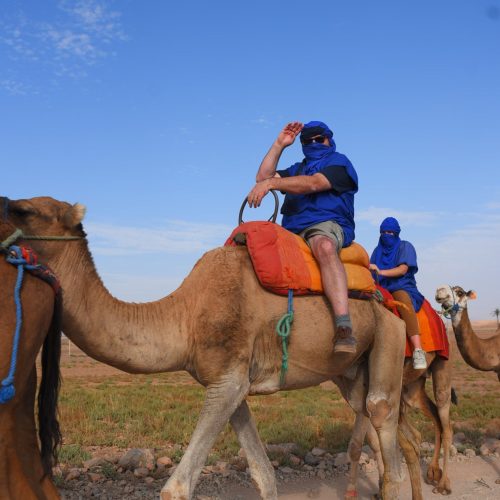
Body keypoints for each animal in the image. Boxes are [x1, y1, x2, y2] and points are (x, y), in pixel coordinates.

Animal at [1, 195, 416, 500]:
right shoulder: (227, 381)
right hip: (350, 369)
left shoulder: (229, 379)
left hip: (389, 335)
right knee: (370, 419)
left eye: (24, 210)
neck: (185, 315)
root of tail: (387, 298)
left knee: (382, 422)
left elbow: (177, 488)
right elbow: (263, 473)